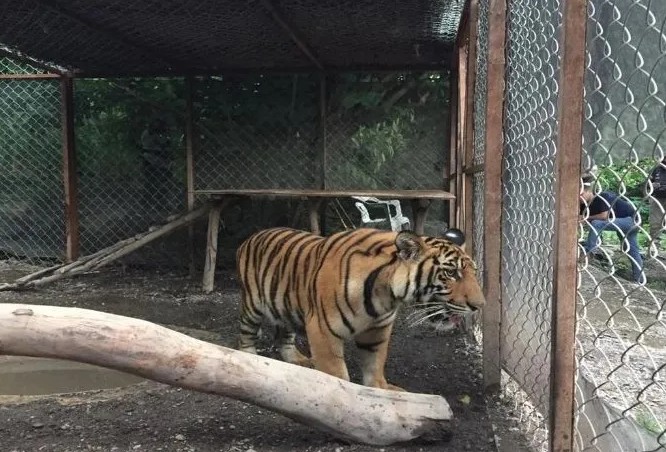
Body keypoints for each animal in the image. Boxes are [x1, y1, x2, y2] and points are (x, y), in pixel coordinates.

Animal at [233, 228, 482, 390]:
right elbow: (336, 373)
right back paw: (249, 357)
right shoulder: (322, 330)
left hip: (286, 307)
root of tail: (251, 237)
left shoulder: (377, 331)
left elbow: (375, 364)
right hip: (253, 305)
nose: (480, 306)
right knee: (245, 332)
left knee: (284, 335)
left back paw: (297, 359)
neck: (385, 295)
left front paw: (381, 390)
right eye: (451, 273)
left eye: (474, 272)